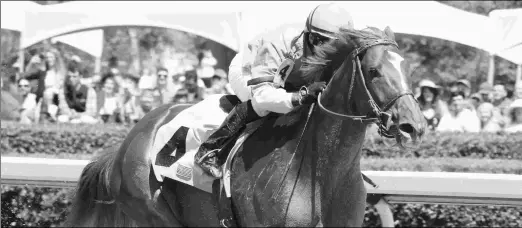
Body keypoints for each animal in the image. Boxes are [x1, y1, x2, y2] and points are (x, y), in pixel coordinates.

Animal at [63, 26, 424, 226]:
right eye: (374, 71)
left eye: (407, 67)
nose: (414, 126)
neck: (321, 173)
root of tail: (127, 142)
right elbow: (262, 94)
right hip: (153, 210)